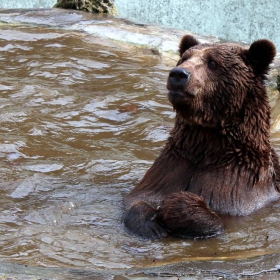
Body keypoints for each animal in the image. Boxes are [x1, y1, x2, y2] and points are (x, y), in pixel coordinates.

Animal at [123, 34, 280, 238]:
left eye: (212, 63)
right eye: (184, 58)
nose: (178, 74)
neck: (205, 144)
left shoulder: (238, 185)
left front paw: (177, 205)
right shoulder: (170, 167)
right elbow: (136, 200)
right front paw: (152, 225)